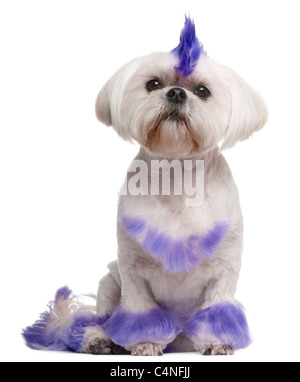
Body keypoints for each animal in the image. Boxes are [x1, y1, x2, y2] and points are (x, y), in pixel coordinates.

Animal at [22, 14, 268, 356]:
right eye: (153, 84)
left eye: (202, 90)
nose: (176, 93)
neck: (177, 176)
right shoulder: (132, 270)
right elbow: (140, 311)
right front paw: (146, 343)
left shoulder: (225, 268)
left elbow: (217, 307)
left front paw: (217, 343)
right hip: (109, 285)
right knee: (99, 319)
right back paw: (99, 340)